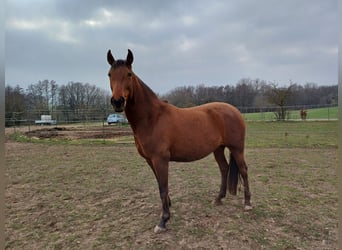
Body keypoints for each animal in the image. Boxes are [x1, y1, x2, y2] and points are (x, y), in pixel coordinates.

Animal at [106, 49, 251, 233]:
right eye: (109, 74)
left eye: (129, 74)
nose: (117, 102)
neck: (152, 118)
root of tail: (235, 110)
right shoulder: (150, 160)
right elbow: (160, 185)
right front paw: (167, 208)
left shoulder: (160, 159)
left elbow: (163, 187)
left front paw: (163, 221)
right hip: (218, 148)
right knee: (224, 169)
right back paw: (218, 199)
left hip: (237, 148)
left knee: (244, 170)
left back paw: (247, 204)